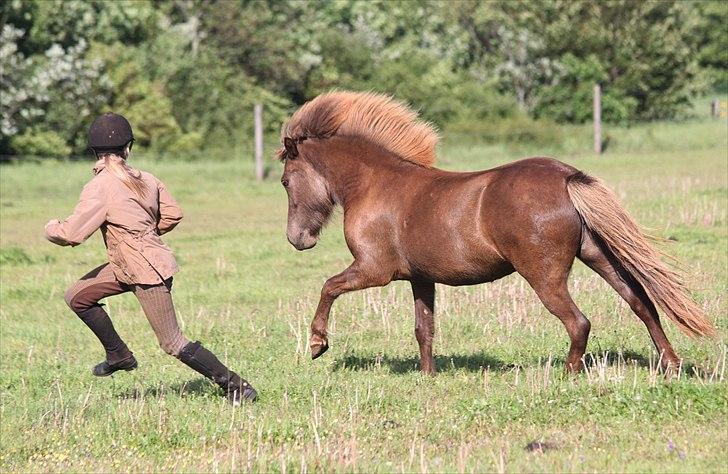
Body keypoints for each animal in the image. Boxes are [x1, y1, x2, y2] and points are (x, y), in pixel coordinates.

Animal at [276, 91, 712, 374]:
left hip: (544, 274)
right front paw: (428, 377)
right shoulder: (420, 278)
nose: (298, 239)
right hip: (597, 255)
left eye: (284, 180)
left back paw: (569, 373)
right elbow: (423, 329)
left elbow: (328, 286)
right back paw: (671, 365)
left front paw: (317, 345)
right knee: (641, 302)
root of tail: (566, 176)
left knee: (579, 321)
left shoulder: (373, 270)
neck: (374, 185)